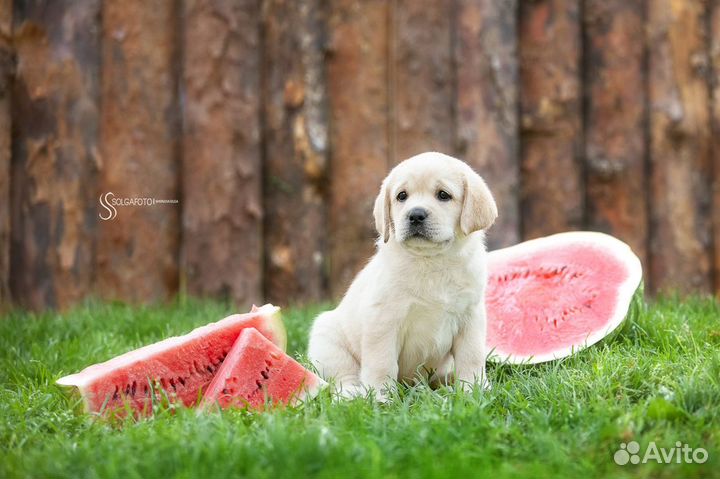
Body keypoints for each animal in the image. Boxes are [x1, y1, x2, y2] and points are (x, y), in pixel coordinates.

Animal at [306, 152, 498, 400]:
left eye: (443, 195)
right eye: (402, 196)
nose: (415, 215)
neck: (431, 261)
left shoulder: (470, 317)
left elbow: (472, 357)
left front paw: (473, 390)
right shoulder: (383, 320)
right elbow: (382, 362)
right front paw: (381, 396)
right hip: (328, 340)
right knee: (342, 377)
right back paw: (352, 393)